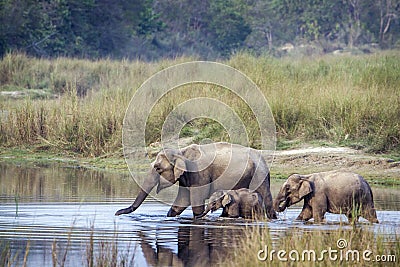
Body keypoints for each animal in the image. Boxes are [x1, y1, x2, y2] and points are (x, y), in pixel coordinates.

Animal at [115, 142, 276, 220]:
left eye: (157, 168)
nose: (117, 213)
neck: (181, 152)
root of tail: (264, 161)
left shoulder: (199, 174)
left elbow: (196, 201)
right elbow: (181, 202)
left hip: (259, 175)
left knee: (267, 200)